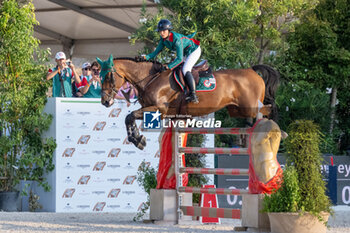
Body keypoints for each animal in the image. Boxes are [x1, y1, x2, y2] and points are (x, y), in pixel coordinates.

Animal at [99, 55, 278, 149]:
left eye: (108, 77)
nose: (105, 102)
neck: (151, 78)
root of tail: (251, 70)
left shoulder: (159, 109)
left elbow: (129, 116)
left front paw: (137, 139)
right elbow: (129, 118)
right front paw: (137, 139)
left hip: (250, 107)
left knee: (267, 111)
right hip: (236, 109)